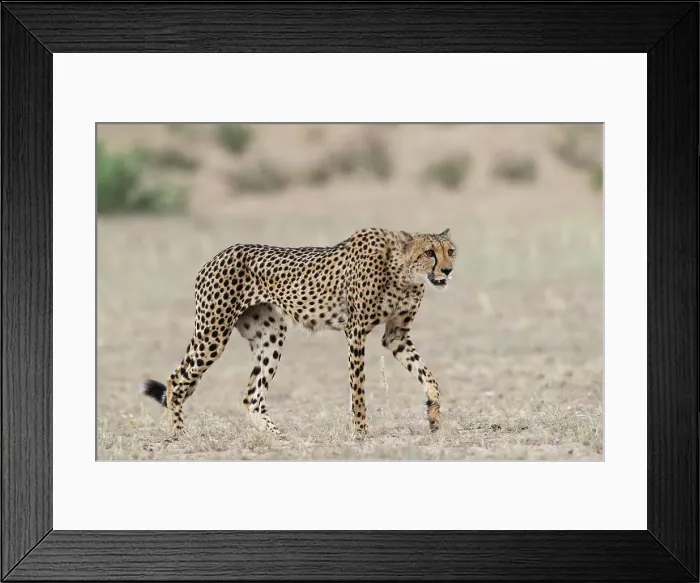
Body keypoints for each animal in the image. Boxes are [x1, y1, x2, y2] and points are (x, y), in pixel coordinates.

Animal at [140, 227, 457, 437]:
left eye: (450, 251)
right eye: (429, 252)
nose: (448, 270)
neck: (402, 272)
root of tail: (215, 257)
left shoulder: (396, 336)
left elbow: (429, 377)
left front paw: (434, 417)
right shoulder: (355, 332)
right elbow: (358, 390)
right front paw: (361, 433)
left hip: (270, 336)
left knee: (252, 397)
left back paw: (280, 439)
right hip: (212, 333)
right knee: (176, 380)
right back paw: (179, 435)